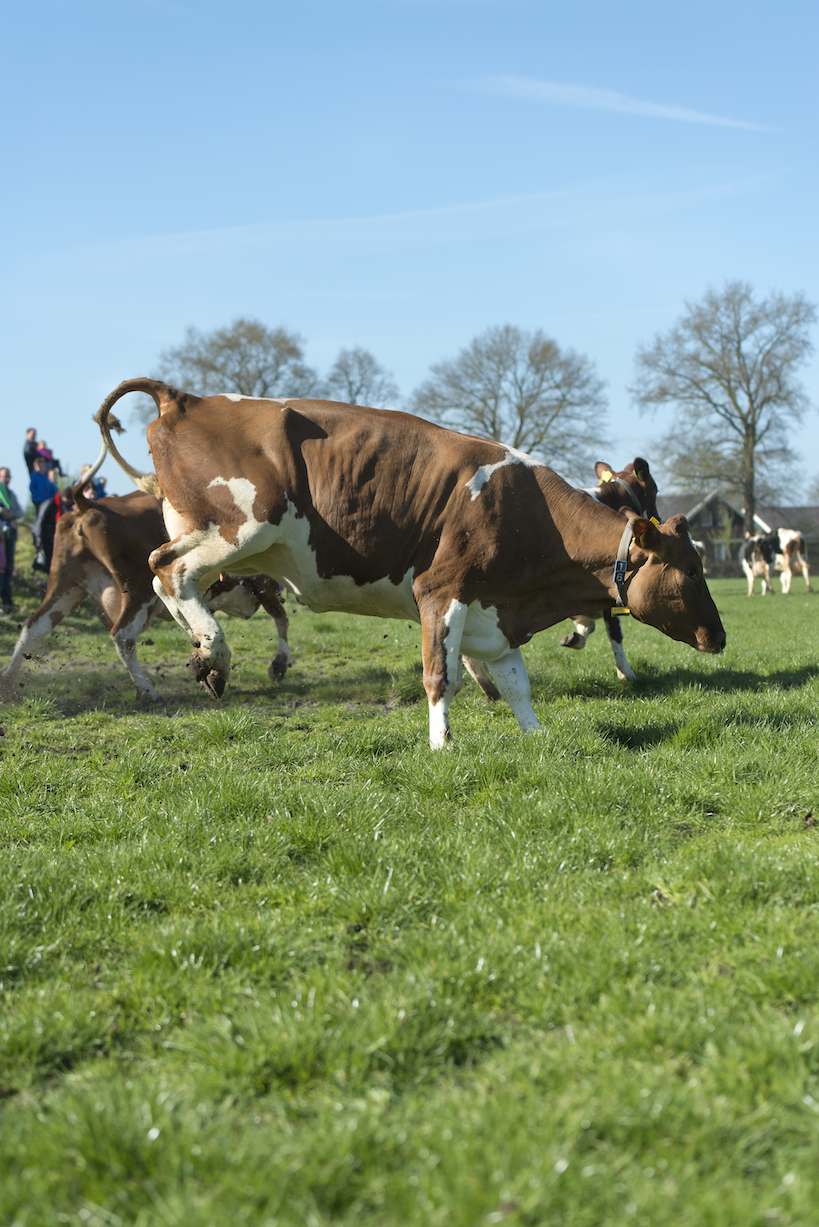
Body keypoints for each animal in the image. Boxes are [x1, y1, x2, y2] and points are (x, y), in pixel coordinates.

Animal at [0, 466, 291, 700]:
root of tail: (88, 505)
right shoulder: (266, 580)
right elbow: (281, 617)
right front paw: (277, 665)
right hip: (138, 588)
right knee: (123, 635)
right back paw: (147, 689)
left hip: (66, 585)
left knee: (33, 627)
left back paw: (8, 683)